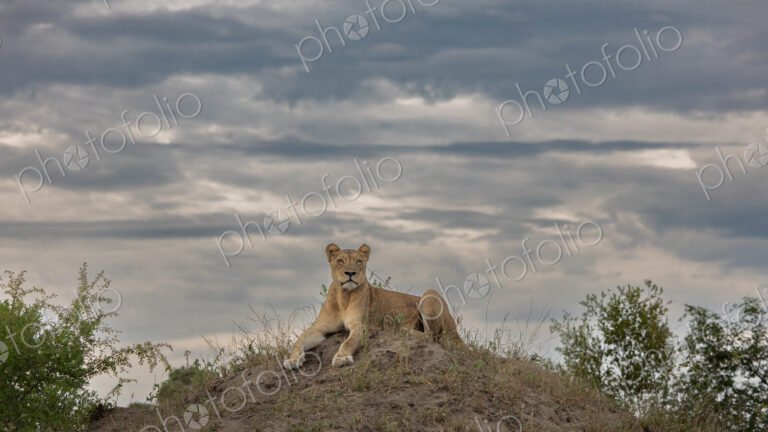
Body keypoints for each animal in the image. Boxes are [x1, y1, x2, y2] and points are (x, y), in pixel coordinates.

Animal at [283, 243, 462, 369]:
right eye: (340, 261)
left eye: (358, 261)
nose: (350, 273)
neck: (344, 296)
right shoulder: (320, 328)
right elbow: (299, 340)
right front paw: (292, 360)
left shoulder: (360, 326)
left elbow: (348, 342)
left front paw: (342, 358)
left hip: (429, 293)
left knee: (432, 336)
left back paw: (401, 329)